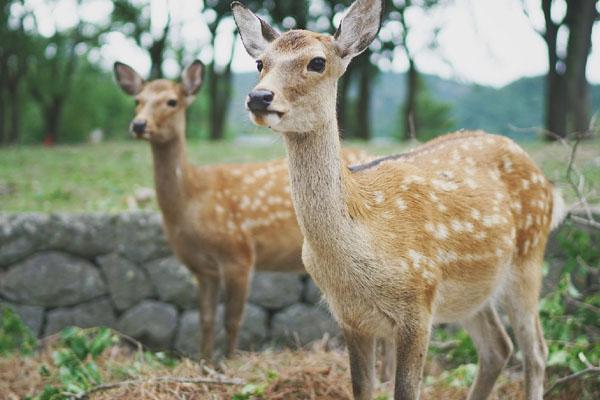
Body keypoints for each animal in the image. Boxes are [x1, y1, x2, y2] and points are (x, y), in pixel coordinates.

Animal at [110, 61, 368, 360]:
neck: (193, 200)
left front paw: (229, 362)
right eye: (137, 101)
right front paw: (205, 363)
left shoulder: (239, 254)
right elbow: (205, 319)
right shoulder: (202, 268)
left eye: (172, 101)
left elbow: (233, 320)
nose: (139, 124)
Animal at [234, 0, 568, 398]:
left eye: (317, 61)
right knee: (498, 347)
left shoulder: (418, 304)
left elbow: (406, 389)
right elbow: (363, 389)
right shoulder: (350, 317)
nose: (259, 97)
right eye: (260, 63)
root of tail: (548, 185)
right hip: (472, 291)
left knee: (535, 350)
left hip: (528, 259)